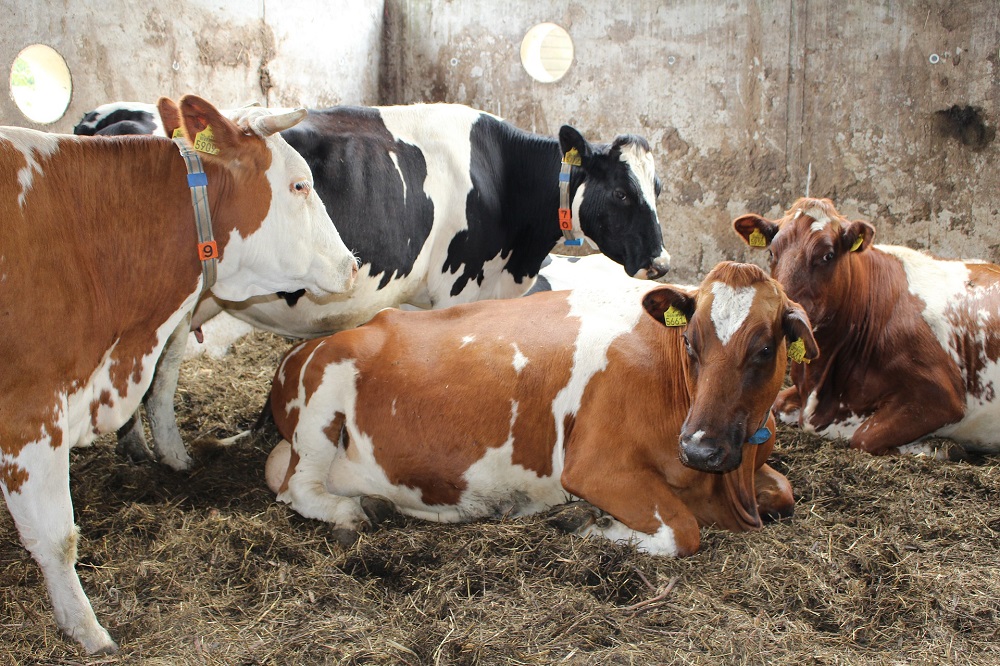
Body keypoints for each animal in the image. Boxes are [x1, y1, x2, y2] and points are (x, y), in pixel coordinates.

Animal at [76, 101, 672, 470]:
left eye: (659, 188)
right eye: (622, 192)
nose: (662, 262)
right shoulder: (458, 287)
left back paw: (141, 450)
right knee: (162, 372)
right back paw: (173, 457)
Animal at [268, 262, 820, 552]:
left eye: (765, 349)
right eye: (690, 342)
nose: (700, 448)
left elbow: (786, 492)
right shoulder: (596, 466)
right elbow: (684, 531)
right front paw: (590, 523)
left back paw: (376, 503)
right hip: (321, 402)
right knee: (297, 486)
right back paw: (352, 512)